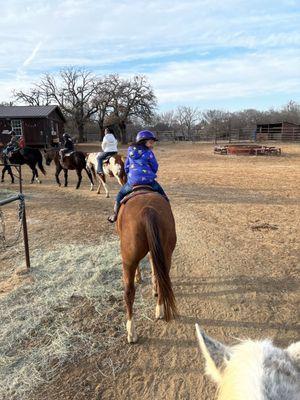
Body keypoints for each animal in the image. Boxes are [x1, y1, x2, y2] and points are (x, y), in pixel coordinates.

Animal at [115, 192, 177, 342]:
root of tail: (148, 210)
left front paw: (138, 278)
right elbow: (154, 266)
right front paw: (154, 289)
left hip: (128, 260)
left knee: (128, 292)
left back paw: (131, 332)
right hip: (166, 253)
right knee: (162, 281)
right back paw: (159, 310)